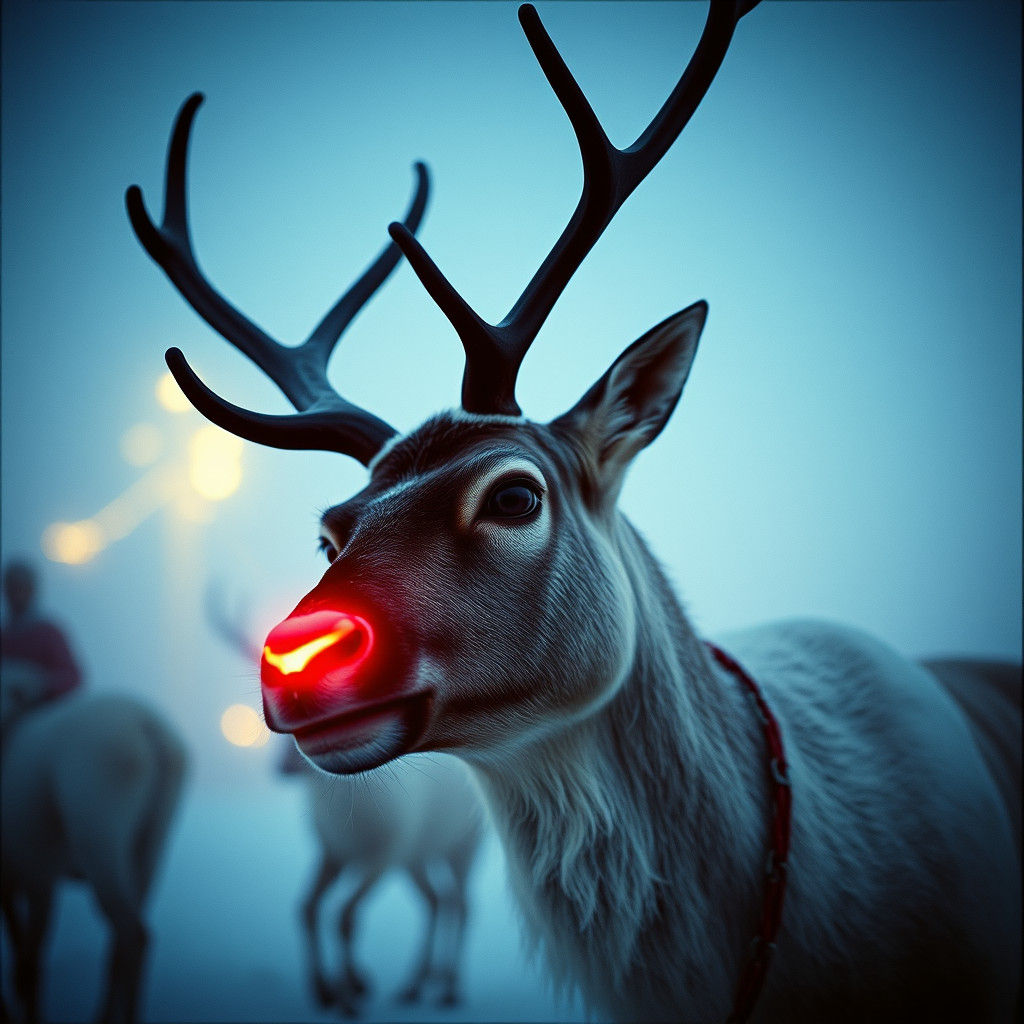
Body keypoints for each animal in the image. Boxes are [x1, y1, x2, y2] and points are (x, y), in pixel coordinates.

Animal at [1, 668, 187, 1024]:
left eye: (18, 691)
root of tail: (147, 725)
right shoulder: (29, 878)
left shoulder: (34, 875)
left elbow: (29, 963)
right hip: (148, 851)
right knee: (120, 945)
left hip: (100, 838)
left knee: (132, 935)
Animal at [205, 586, 483, 1015]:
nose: (281, 769)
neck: (348, 818)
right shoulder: (333, 850)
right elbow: (307, 908)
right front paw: (327, 991)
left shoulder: (382, 853)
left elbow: (345, 916)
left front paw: (352, 990)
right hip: (418, 853)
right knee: (437, 900)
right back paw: (415, 985)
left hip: (465, 844)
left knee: (463, 903)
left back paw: (450, 989)